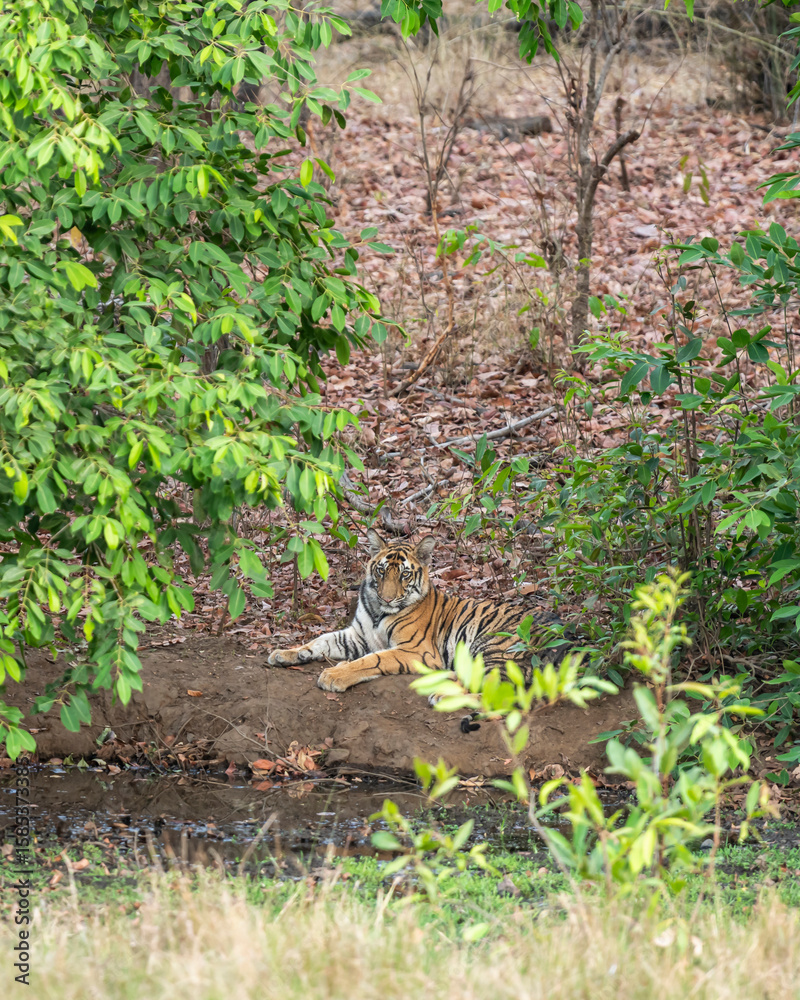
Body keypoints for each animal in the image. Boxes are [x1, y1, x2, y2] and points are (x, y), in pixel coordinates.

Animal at [266, 530, 566, 692]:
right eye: (381, 571)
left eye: (405, 575)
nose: (387, 598)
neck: (378, 611)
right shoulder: (357, 636)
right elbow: (319, 641)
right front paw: (285, 653)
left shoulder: (415, 650)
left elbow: (372, 660)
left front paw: (334, 675)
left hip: (493, 644)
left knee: (490, 679)